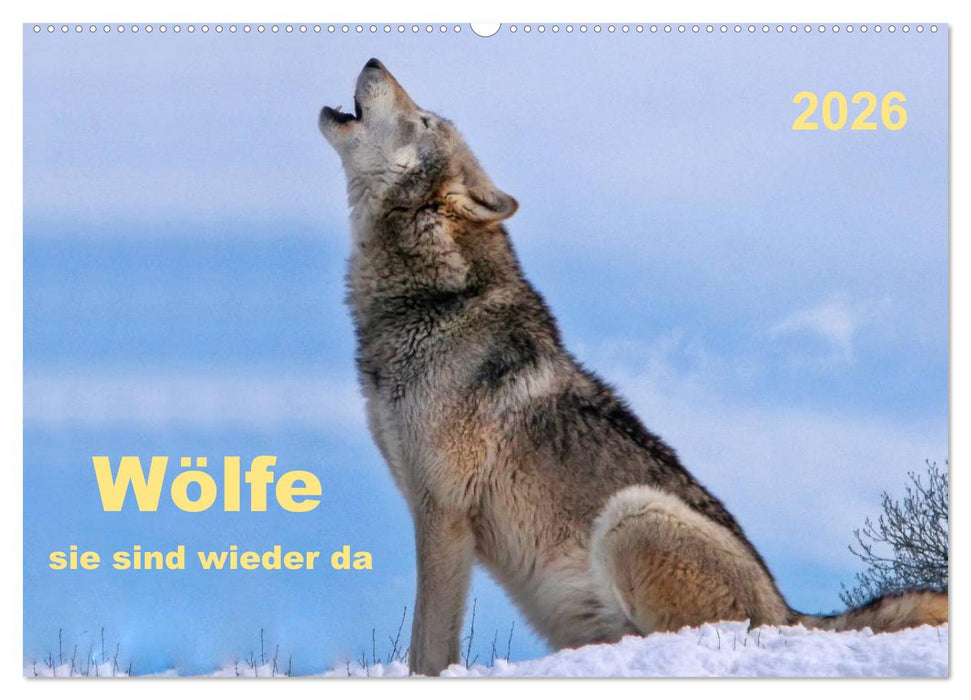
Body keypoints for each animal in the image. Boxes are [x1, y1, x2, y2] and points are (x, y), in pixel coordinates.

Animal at [318, 59, 947, 676]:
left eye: (424, 120)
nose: (374, 59)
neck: (434, 299)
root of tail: (791, 614)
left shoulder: (444, 514)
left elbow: (429, 649)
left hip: (631, 514)